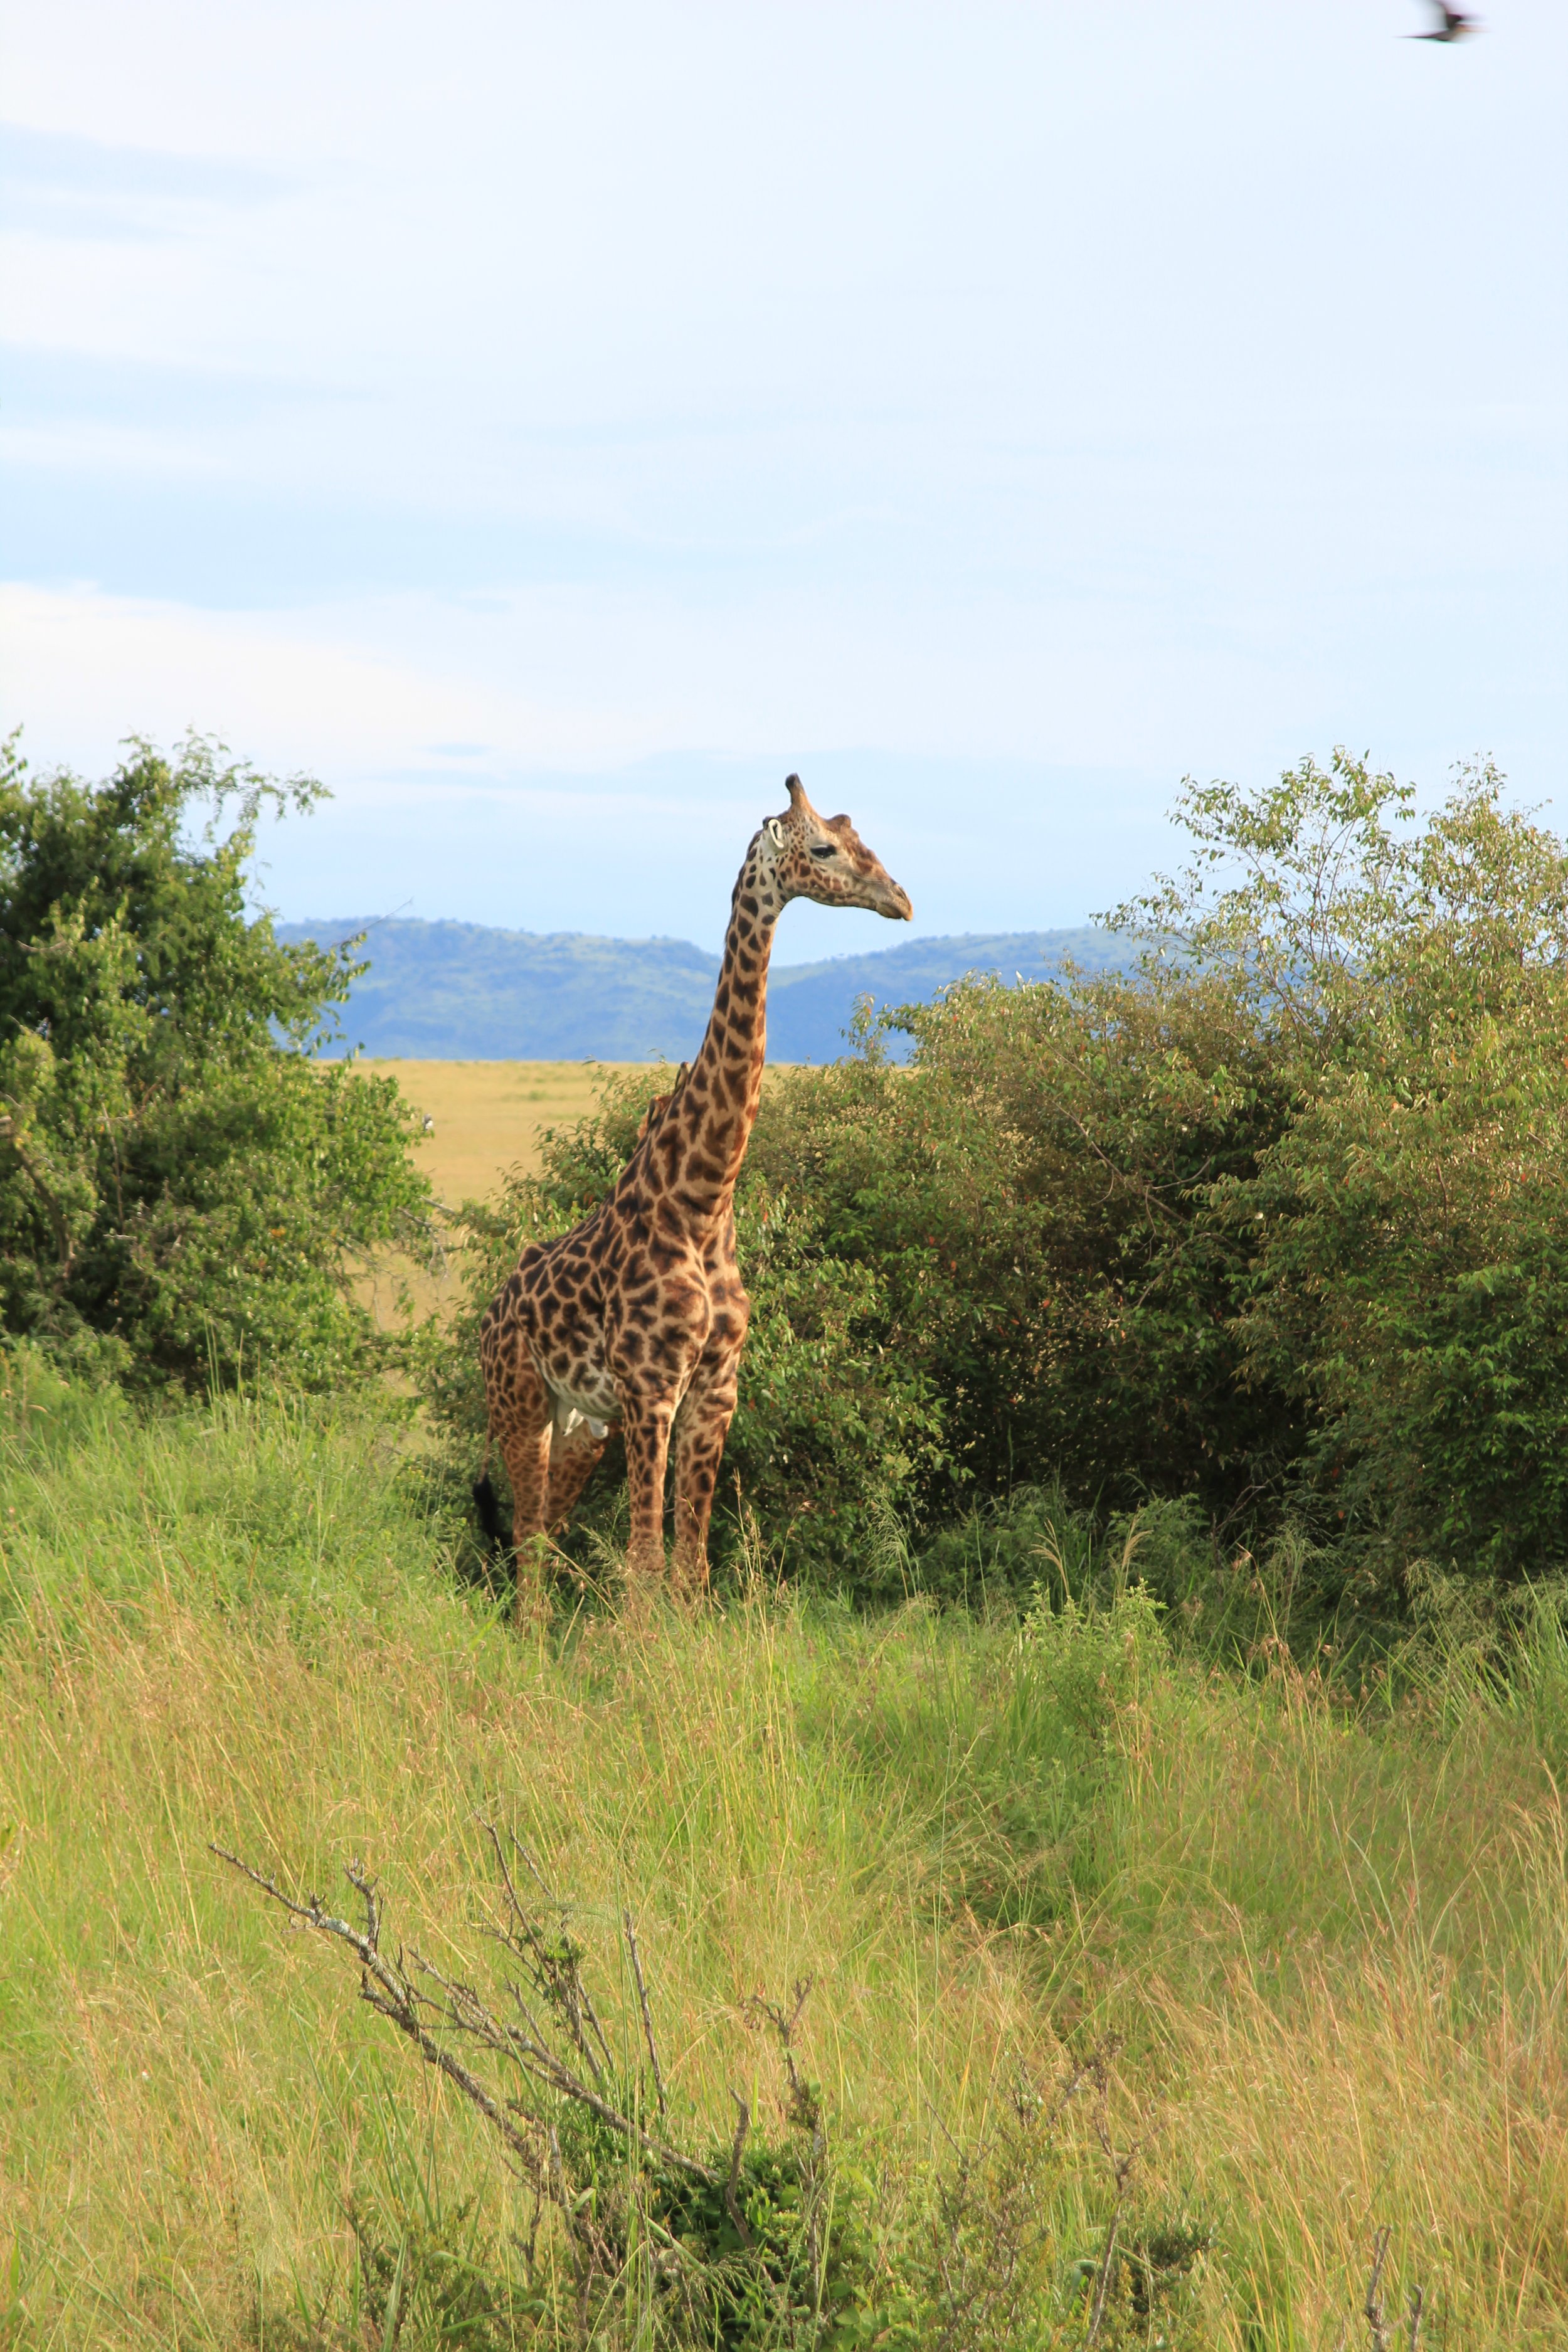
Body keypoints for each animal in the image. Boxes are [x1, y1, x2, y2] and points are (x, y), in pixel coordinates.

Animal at [476, 773, 912, 1606]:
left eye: (860, 838)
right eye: (822, 848)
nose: (901, 900)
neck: (704, 1199)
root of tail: (491, 1309)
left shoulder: (716, 1388)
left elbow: (692, 1564)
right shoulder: (652, 1387)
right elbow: (645, 1560)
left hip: (583, 1422)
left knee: (544, 1529)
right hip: (518, 1399)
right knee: (526, 1535)